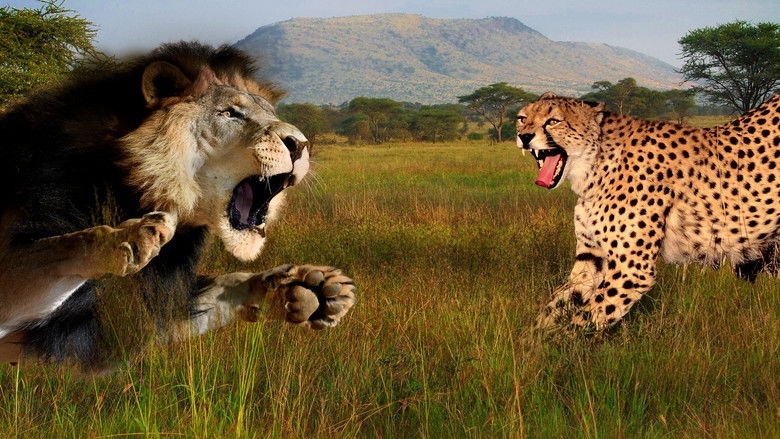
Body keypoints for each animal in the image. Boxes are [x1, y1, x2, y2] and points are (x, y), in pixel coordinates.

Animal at [0, 42, 356, 369]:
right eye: (230, 113)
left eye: (272, 114)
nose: (300, 144)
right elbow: (51, 249)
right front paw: (126, 237)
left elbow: (227, 283)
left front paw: (312, 287)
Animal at [516, 92, 780, 332]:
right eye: (522, 118)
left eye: (553, 121)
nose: (524, 136)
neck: (594, 165)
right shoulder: (591, 258)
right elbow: (557, 304)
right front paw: (531, 343)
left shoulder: (632, 269)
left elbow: (584, 320)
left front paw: (561, 346)